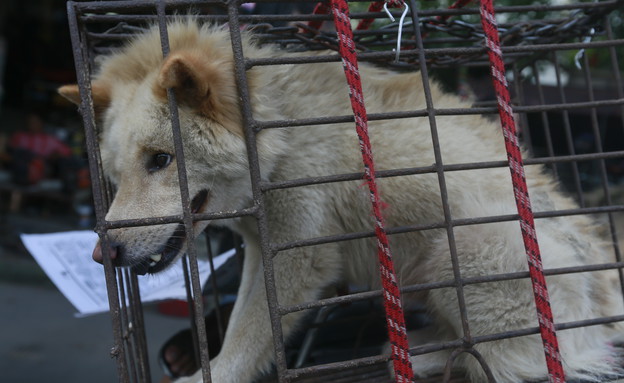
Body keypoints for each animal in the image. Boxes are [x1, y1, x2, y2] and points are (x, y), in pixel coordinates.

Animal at [59, 20, 624, 383]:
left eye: (160, 159)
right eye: (114, 177)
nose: (103, 254)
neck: (278, 138)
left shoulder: (299, 257)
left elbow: (248, 336)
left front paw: (212, 374)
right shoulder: (263, 249)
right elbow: (241, 324)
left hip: (464, 248)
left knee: (509, 361)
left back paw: (423, 358)